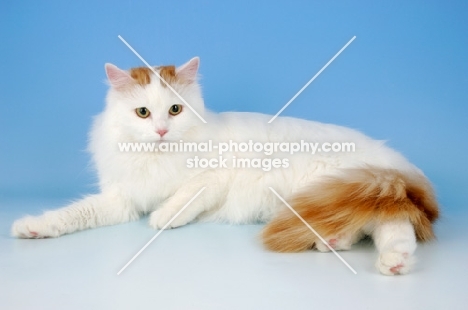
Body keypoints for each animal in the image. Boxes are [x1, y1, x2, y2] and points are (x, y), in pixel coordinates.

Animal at [12, 57, 440, 274]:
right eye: (143, 113)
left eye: (175, 110)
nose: (162, 130)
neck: (157, 157)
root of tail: (393, 162)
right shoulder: (122, 199)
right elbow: (72, 214)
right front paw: (32, 227)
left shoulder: (214, 177)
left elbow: (183, 198)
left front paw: (163, 217)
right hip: (336, 198)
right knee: (368, 226)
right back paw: (333, 242)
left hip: (349, 188)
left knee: (394, 226)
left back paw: (395, 262)